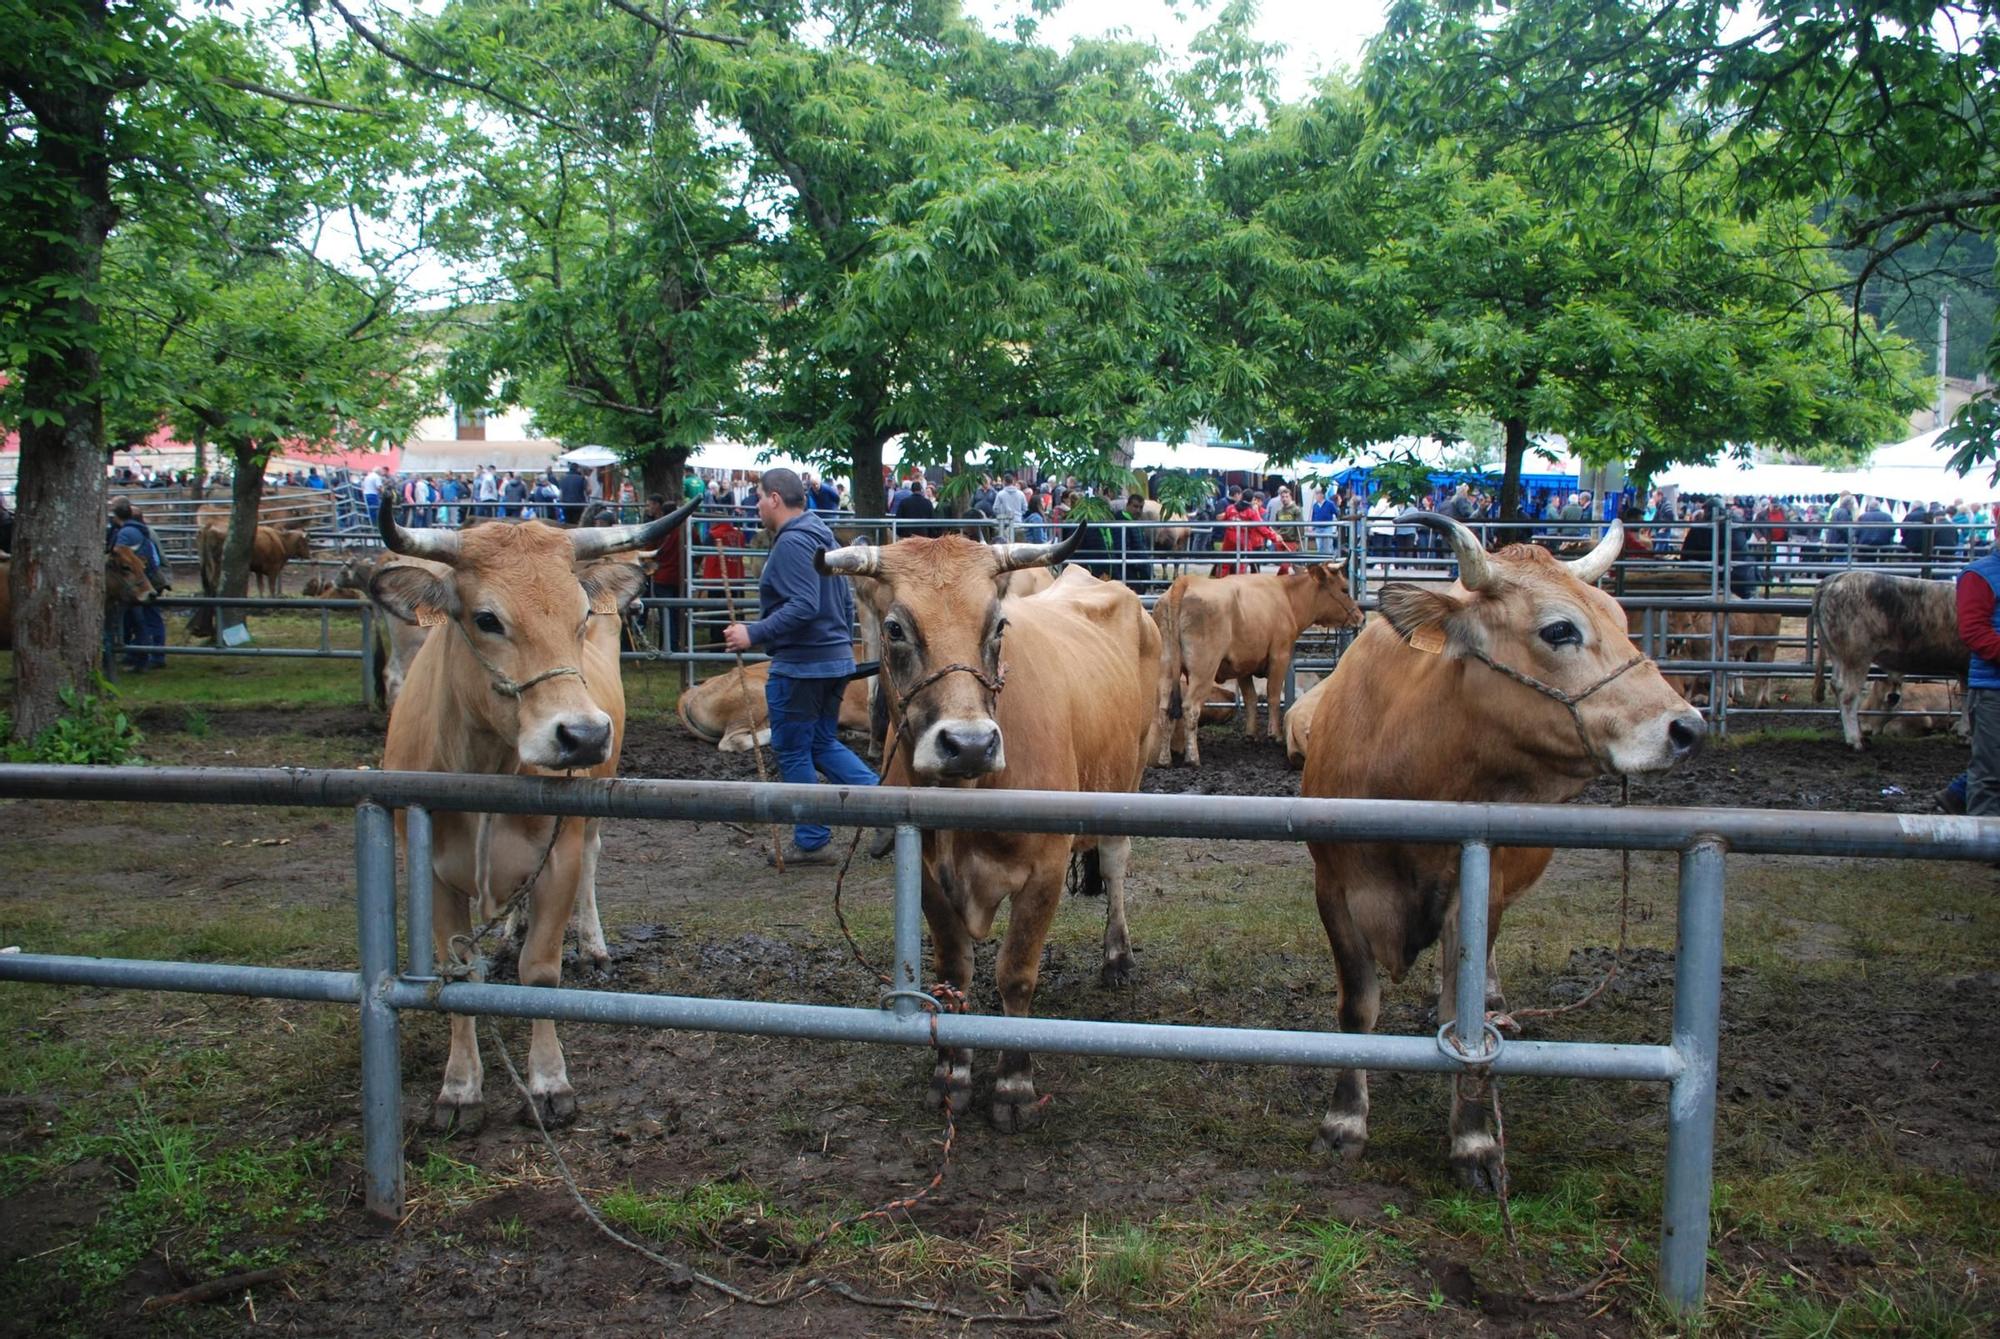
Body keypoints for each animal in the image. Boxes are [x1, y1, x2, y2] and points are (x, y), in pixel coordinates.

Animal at [374, 495, 696, 1135]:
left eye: (581, 615)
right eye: (486, 618)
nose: (584, 736)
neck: (485, 764)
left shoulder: (560, 857)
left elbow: (541, 972)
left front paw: (549, 1083)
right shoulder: (433, 873)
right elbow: (460, 974)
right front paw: (460, 1087)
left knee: (593, 864)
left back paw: (593, 946)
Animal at [812, 535, 1160, 1135]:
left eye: (998, 624)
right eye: (895, 627)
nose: (969, 744)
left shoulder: (1045, 870)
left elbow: (1016, 973)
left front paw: (1014, 1084)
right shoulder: (927, 874)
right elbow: (955, 971)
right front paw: (951, 1071)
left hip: (1129, 776)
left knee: (1116, 864)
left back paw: (1118, 957)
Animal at [1160, 563, 1360, 767]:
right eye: (1345, 589)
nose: (1359, 617)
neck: (1287, 595)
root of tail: (1186, 582)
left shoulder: (1243, 666)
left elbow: (1250, 698)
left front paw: (1250, 734)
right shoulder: (1280, 656)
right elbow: (1273, 696)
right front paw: (1275, 734)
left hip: (1167, 668)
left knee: (1165, 708)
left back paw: (1164, 758)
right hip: (1203, 671)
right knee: (1190, 708)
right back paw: (1192, 758)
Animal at [1296, 519, 1704, 1191]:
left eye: (1622, 617)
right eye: (1560, 629)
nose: (1688, 729)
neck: (1412, 762)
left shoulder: (1475, 891)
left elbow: (1461, 1014)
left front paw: (1474, 1140)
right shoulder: (1334, 888)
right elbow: (1358, 1007)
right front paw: (1343, 1123)